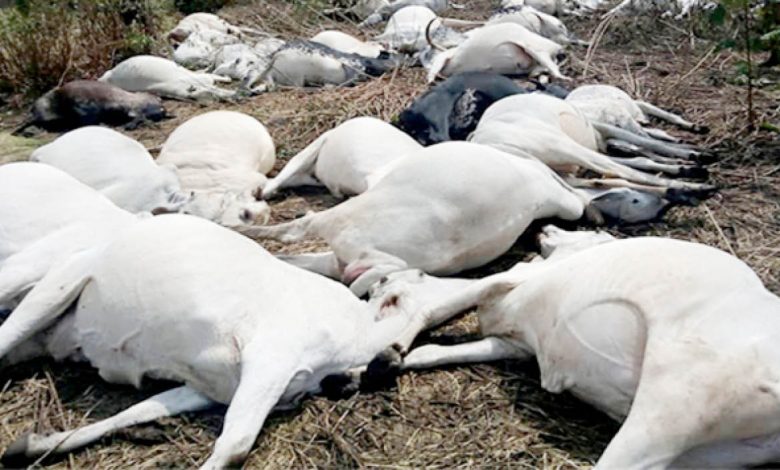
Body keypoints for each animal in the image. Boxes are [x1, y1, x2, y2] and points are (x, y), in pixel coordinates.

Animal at [0, 213, 429, 468]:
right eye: (406, 287)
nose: (392, 358)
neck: (353, 330)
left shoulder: (211, 385)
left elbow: (138, 411)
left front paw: (34, 444)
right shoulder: (269, 360)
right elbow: (236, 443)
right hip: (57, 280)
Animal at [361, 225, 780, 468]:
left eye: (591, 227)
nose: (544, 227)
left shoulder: (506, 280)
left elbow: (433, 310)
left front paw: (385, 357)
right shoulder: (514, 343)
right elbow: (434, 352)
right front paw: (387, 364)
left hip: (674, 407)